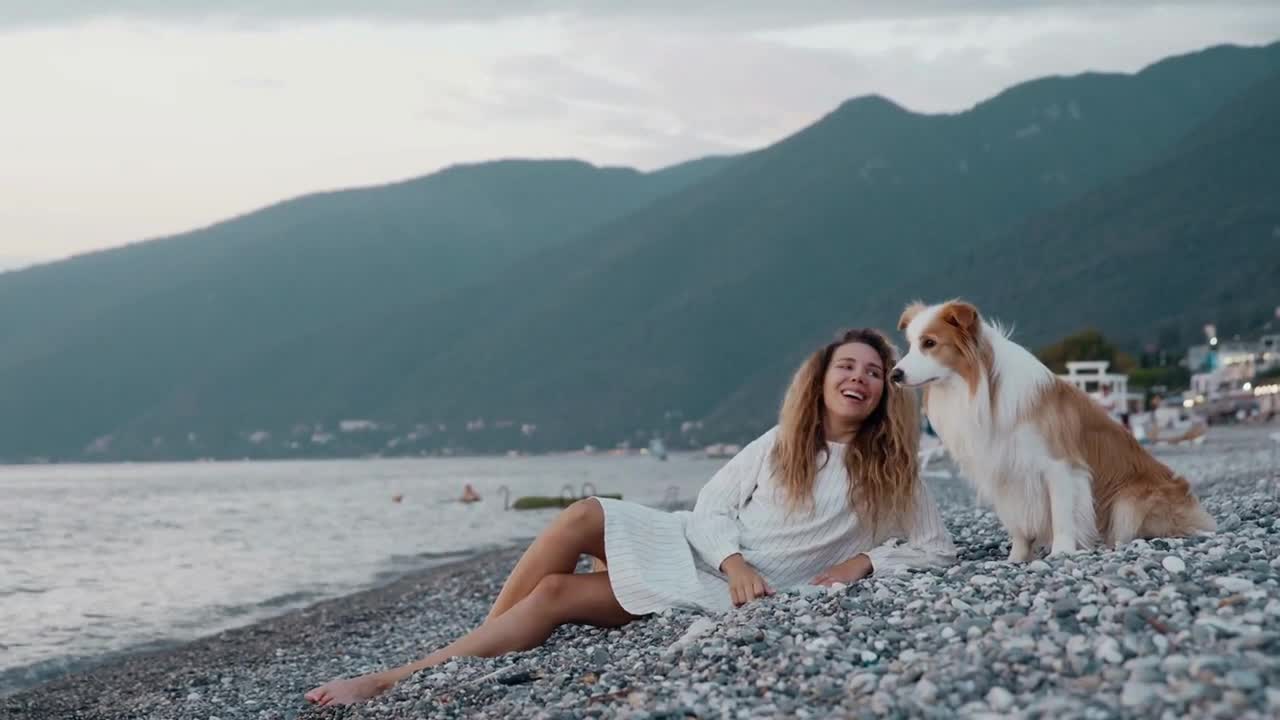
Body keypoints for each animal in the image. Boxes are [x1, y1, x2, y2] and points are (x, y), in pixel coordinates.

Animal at [890, 299, 1208, 558]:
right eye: (911, 345)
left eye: (929, 343)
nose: (894, 374)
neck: (980, 387)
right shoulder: (1003, 471)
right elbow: (1017, 522)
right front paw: (1016, 559)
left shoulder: (1060, 466)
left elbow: (1062, 514)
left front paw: (1061, 552)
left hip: (1128, 501)